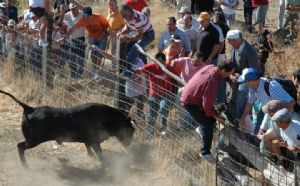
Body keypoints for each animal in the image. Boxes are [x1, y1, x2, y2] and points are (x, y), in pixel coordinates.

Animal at [0, 89, 136, 167]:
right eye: (130, 132)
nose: (129, 144)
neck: (107, 118)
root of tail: (30, 108)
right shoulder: (95, 141)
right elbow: (99, 152)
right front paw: (105, 163)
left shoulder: (89, 140)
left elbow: (88, 147)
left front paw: (91, 156)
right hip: (34, 140)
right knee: (20, 146)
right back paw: (25, 165)